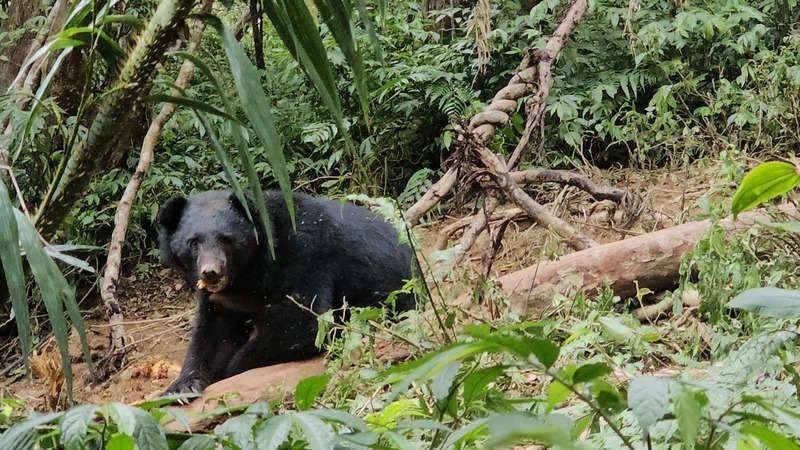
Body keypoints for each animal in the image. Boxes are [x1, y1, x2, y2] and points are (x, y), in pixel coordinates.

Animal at [156, 189, 417, 396]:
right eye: (193, 242)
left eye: (227, 239)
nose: (211, 273)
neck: (246, 275)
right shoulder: (220, 300)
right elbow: (214, 334)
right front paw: (182, 387)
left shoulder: (304, 256)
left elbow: (303, 322)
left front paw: (231, 370)